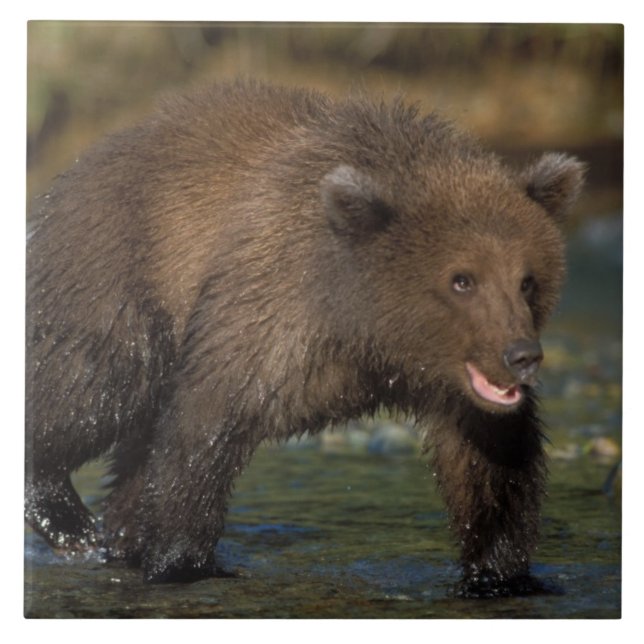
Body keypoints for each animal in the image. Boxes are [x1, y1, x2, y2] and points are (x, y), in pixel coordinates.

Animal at [25, 79, 585, 596]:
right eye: (462, 279)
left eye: (527, 279)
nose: (522, 356)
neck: (369, 331)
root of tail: (84, 160)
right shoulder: (274, 310)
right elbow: (203, 431)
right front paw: (182, 562)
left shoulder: (458, 391)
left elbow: (491, 467)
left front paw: (501, 575)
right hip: (122, 275)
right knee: (96, 385)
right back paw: (69, 519)